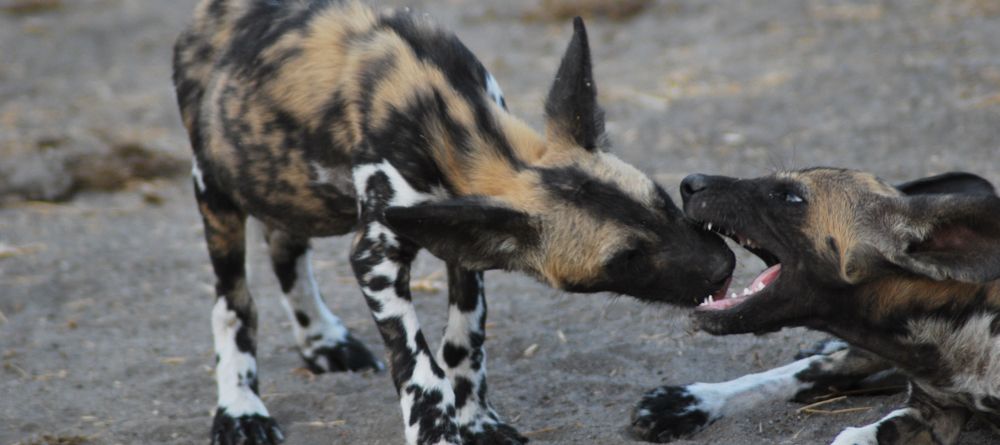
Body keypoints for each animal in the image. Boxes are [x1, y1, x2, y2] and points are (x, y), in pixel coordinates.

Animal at [172, 1, 736, 442]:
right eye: (626, 258)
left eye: (663, 200)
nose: (724, 266)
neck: (453, 128)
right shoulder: (375, 258)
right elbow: (419, 366)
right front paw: (438, 431)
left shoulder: (463, 240)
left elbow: (463, 343)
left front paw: (477, 420)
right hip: (216, 194)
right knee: (234, 307)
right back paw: (241, 408)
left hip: (286, 188)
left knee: (285, 249)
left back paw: (322, 342)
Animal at [628, 168, 1000, 442]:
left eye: (791, 196)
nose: (689, 183)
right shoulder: (931, 411)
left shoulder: (933, 415)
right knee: (814, 369)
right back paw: (688, 402)